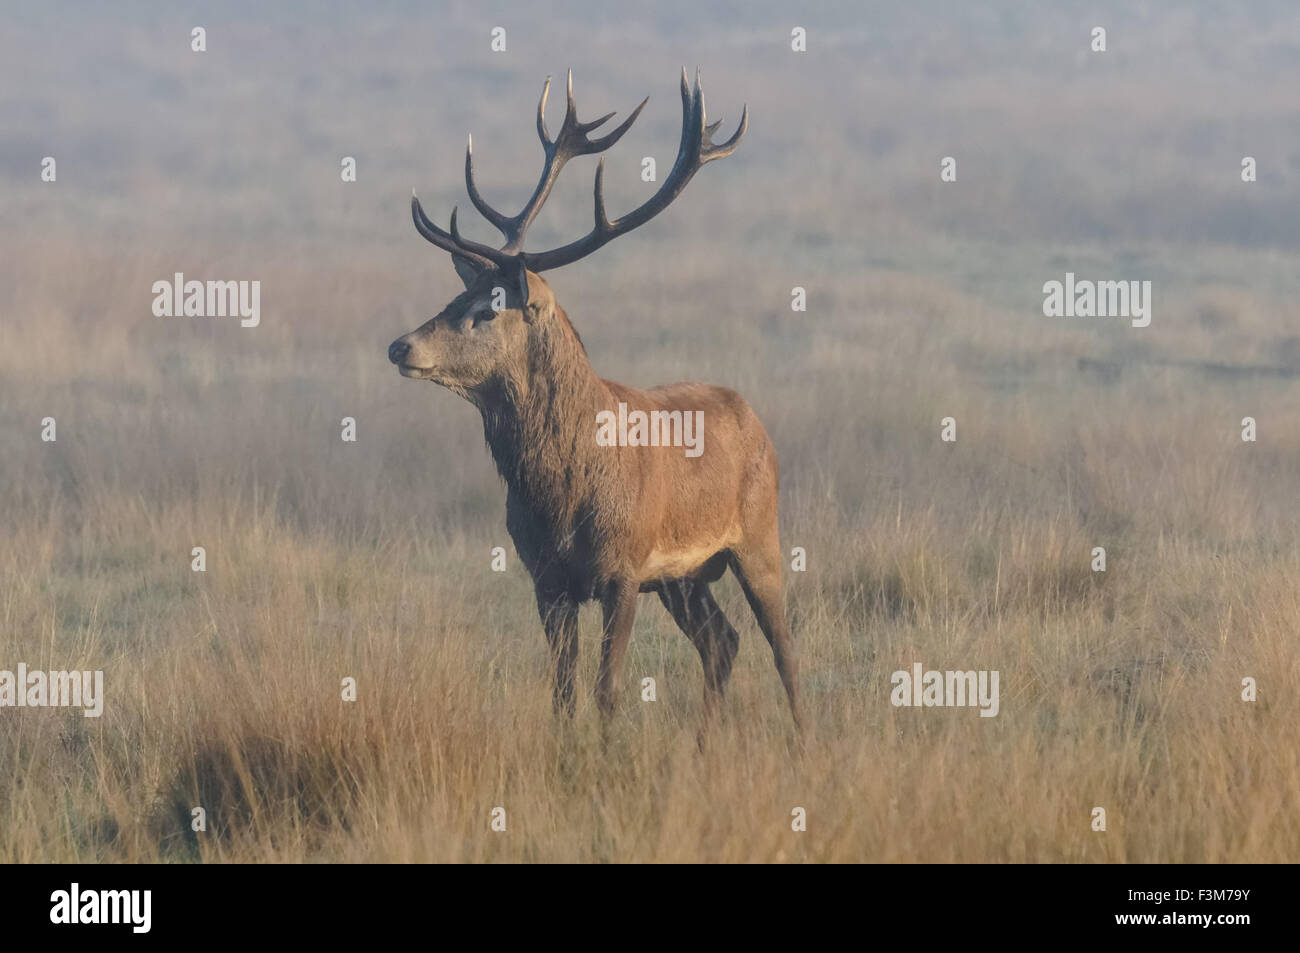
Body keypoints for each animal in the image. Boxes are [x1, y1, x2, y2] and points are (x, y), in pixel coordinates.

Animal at [388, 69, 800, 731]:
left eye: (487, 309)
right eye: (453, 298)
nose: (401, 346)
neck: (563, 492)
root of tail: (752, 415)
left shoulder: (623, 570)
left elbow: (607, 691)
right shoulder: (546, 580)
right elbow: (562, 694)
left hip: (760, 535)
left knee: (783, 648)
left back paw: (805, 739)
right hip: (685, 579)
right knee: (723, 641)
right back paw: (705, 743)